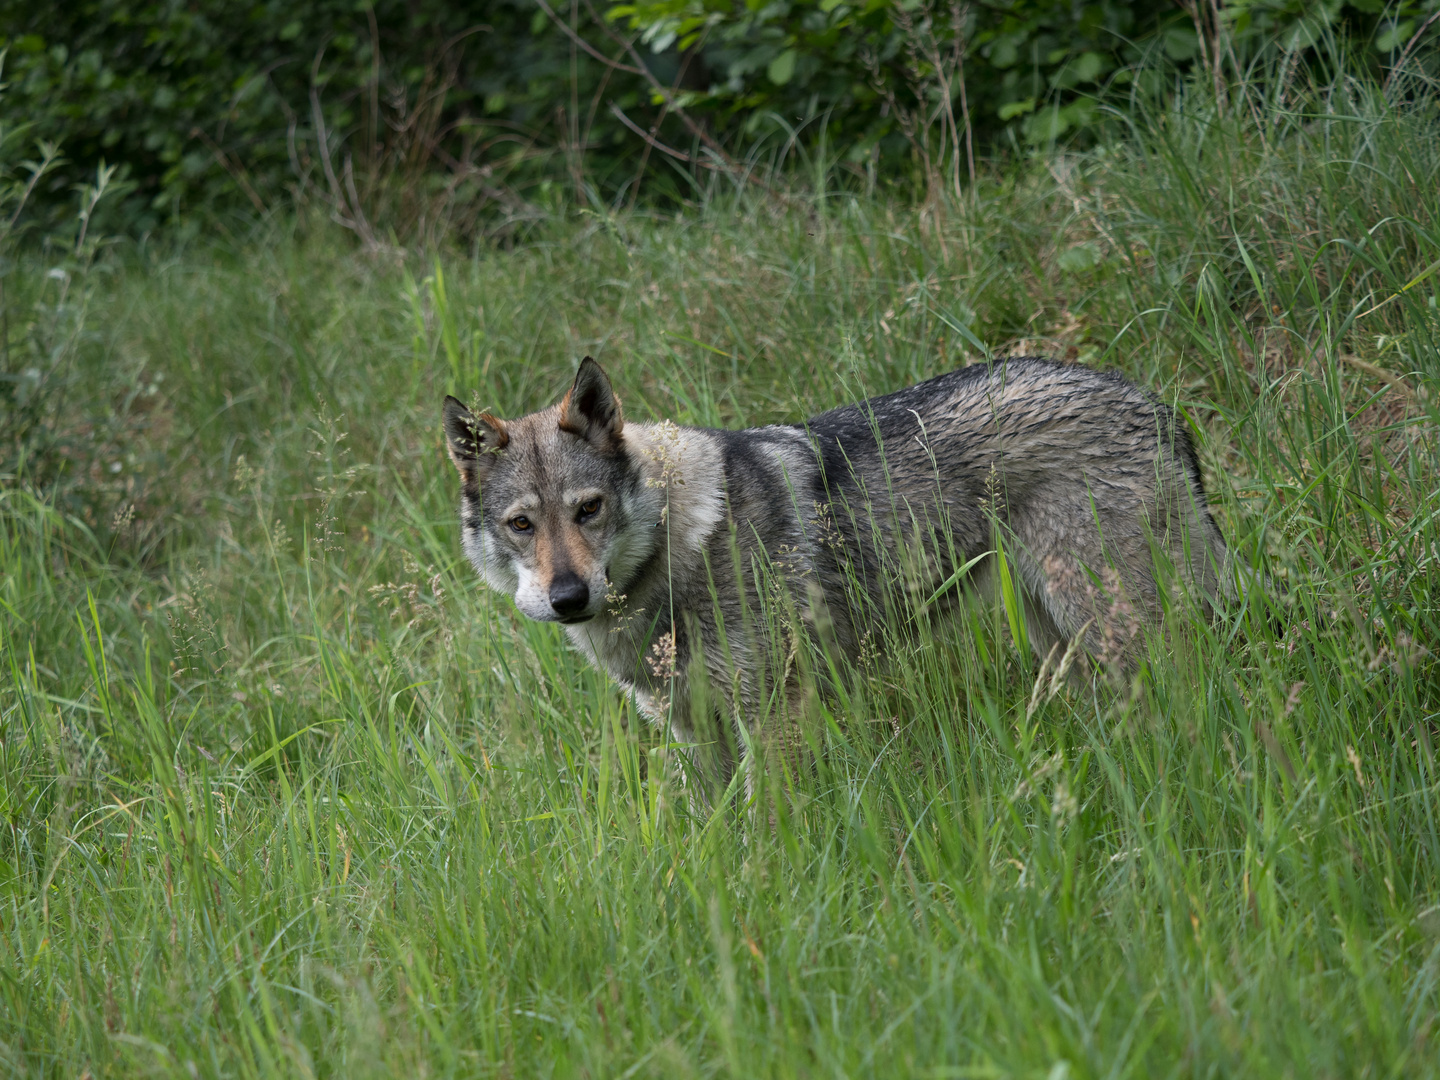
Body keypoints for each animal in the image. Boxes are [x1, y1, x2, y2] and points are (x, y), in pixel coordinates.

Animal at [443, 355, 1232, 789]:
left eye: (589, 509)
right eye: (521, 524)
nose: (568, 597)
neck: (682, 548)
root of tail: (1152, 403)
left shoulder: (773, 720)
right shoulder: (698, 735)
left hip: (1115, 630)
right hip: (1063, 640)